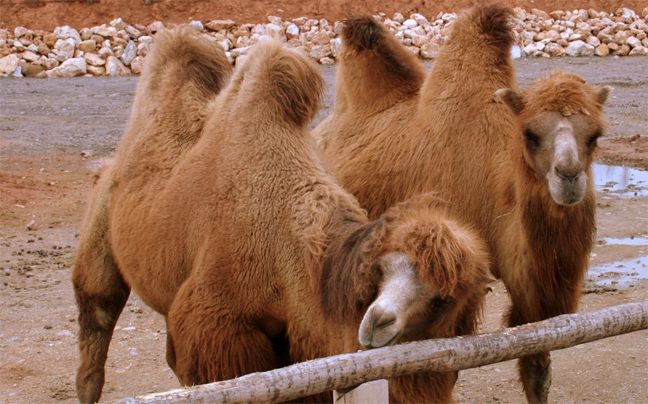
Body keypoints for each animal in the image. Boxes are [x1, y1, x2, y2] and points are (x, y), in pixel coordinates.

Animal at [72, 28, 492, 404]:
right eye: (380, 271)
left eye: (442, 300)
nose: (379, 321)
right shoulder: (218, 325)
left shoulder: (295, 336)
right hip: (100, 222)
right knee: (97, 310)